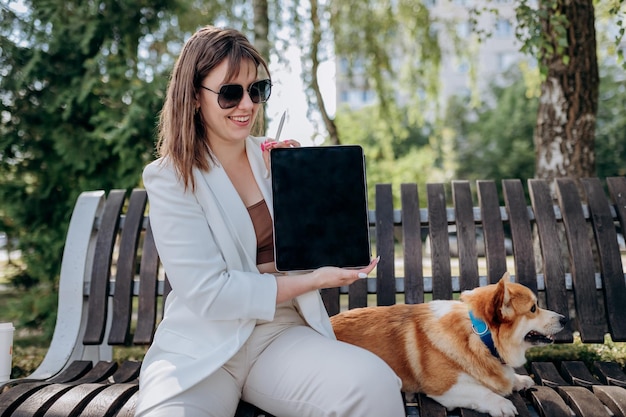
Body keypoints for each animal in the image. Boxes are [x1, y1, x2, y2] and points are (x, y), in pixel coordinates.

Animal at [330, 272, 564, 416]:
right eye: (533, 308)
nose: (564, 318)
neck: (480, 337)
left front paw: (519, 380)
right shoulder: (446, 388)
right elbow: (482, 392)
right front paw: (502, 404)